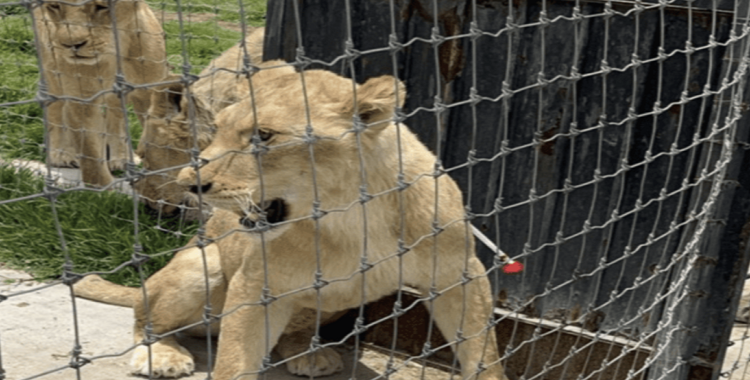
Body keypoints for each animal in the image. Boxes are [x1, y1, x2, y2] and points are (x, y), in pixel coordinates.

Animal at [33, 0, 167, 186]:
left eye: (103, 6)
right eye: (54, 6)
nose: (71, 45)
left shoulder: (149, 92)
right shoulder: (82, 99)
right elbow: (90, 154)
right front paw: (104, 189)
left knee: (116, 116)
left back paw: (122, 158)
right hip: (52, 76)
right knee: (56, 113)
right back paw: (61, 155)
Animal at [173, 66, 508, 380]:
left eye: (263, 135)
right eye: (218, 128)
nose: (187, 182)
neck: (353, 217)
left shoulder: (459, 274)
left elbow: (483, 352)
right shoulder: (257, 284)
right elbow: (235, 360)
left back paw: (311, 355)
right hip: (203, 268)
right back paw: (168, 356)